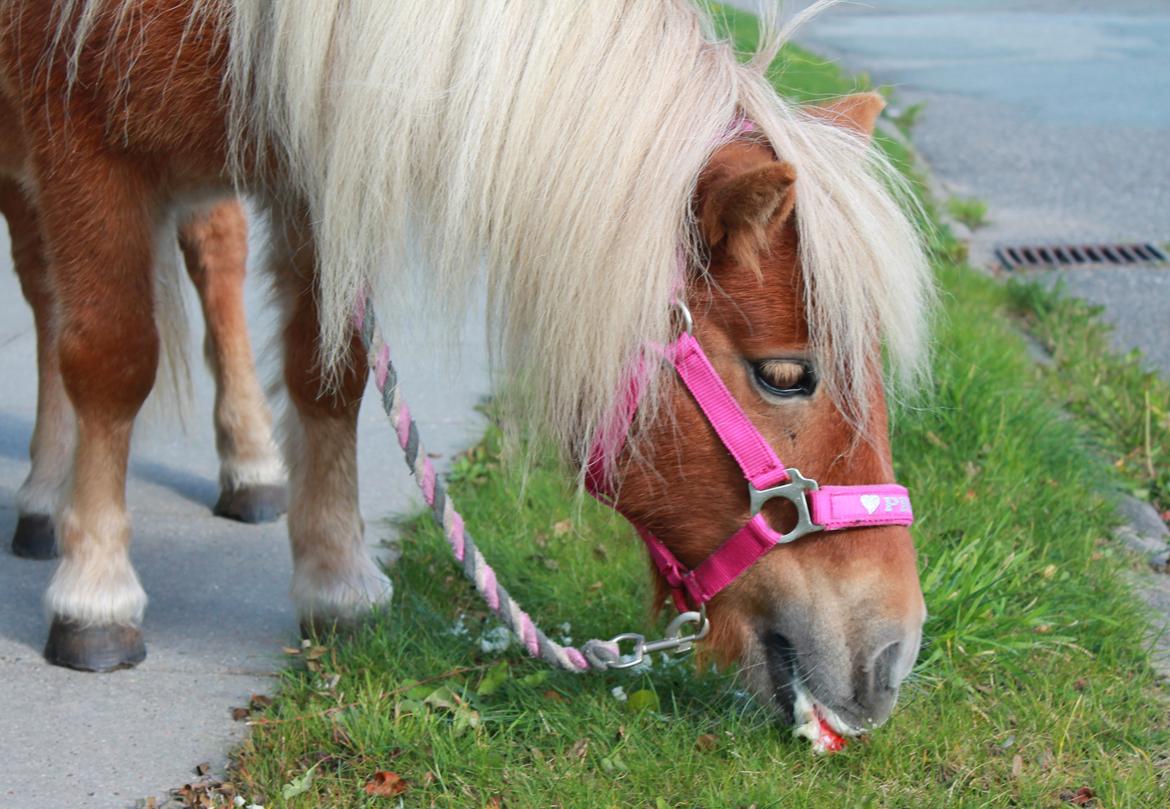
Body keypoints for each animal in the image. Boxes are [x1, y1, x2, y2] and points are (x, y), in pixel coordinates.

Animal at [0, 0, 931, 735]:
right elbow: (110, 359)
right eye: (786, 374)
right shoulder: (73, 136)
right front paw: (97, 593)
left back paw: (252, 463)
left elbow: (327, 368)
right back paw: (47, 497)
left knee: (215, 253)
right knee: (47, 299)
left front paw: (336, 580)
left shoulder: (311, 163)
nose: (894, 655)